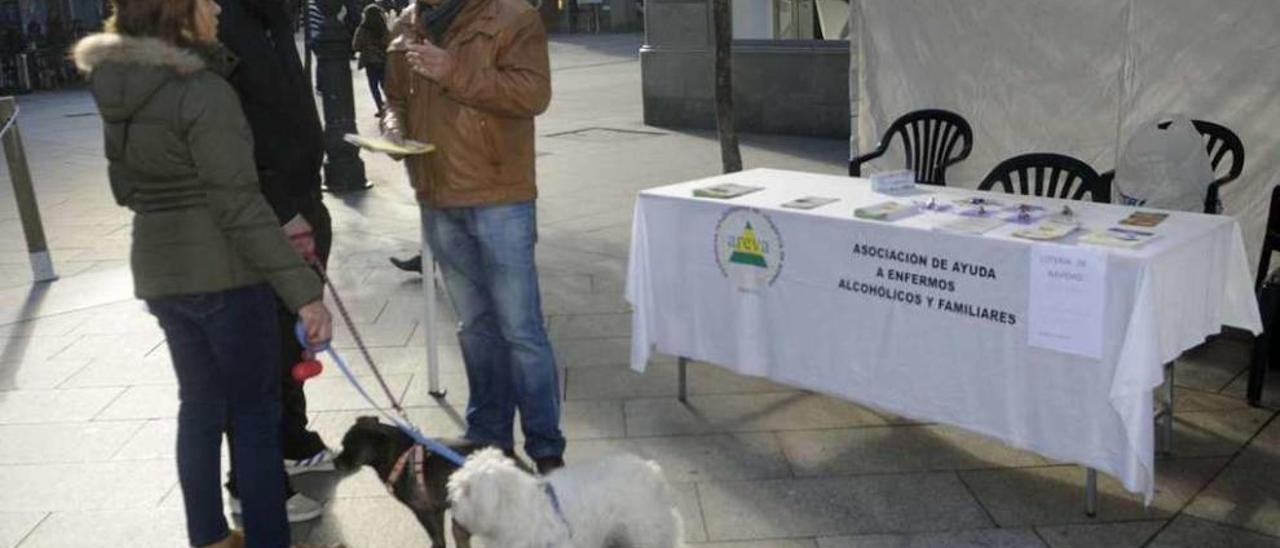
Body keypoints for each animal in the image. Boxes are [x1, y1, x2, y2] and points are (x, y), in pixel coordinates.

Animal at [335, 417, 524, 545]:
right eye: (343, 444)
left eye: (351, 448)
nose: (335, 462)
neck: (399, 455)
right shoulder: (436, 510)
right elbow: (439, 535)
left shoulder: (423, 512)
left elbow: (437, 537)